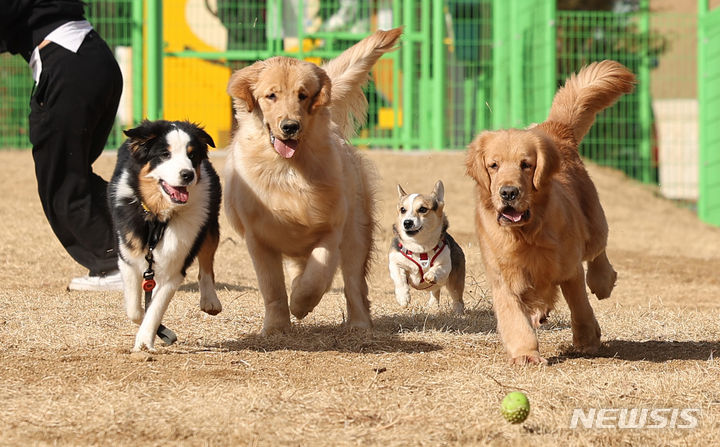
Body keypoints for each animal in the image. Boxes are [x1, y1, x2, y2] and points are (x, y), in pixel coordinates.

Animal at [108, 121, 222, 352]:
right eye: (164, 154)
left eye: (192, 155)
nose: (188, 174)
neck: (158, 217)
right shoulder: (127, 258)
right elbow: (135, 310)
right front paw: (157, 331)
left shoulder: (175, 265)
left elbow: (155, 308)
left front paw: (144, 341)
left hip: (210, 221)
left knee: (207, 260)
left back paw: (210, 300)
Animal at [388, 179, 466, 316]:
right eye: (403, 210)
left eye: (423, 209)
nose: (407, 222)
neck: (419, 246)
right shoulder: (395, 262)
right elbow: (400, 279)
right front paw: (403, 298)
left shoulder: (446, 265)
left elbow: (437, 270)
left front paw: (430, 275)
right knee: (435, 292)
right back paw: (432, 305)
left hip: (455, 281)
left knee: (457, 297)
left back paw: (458, 312)